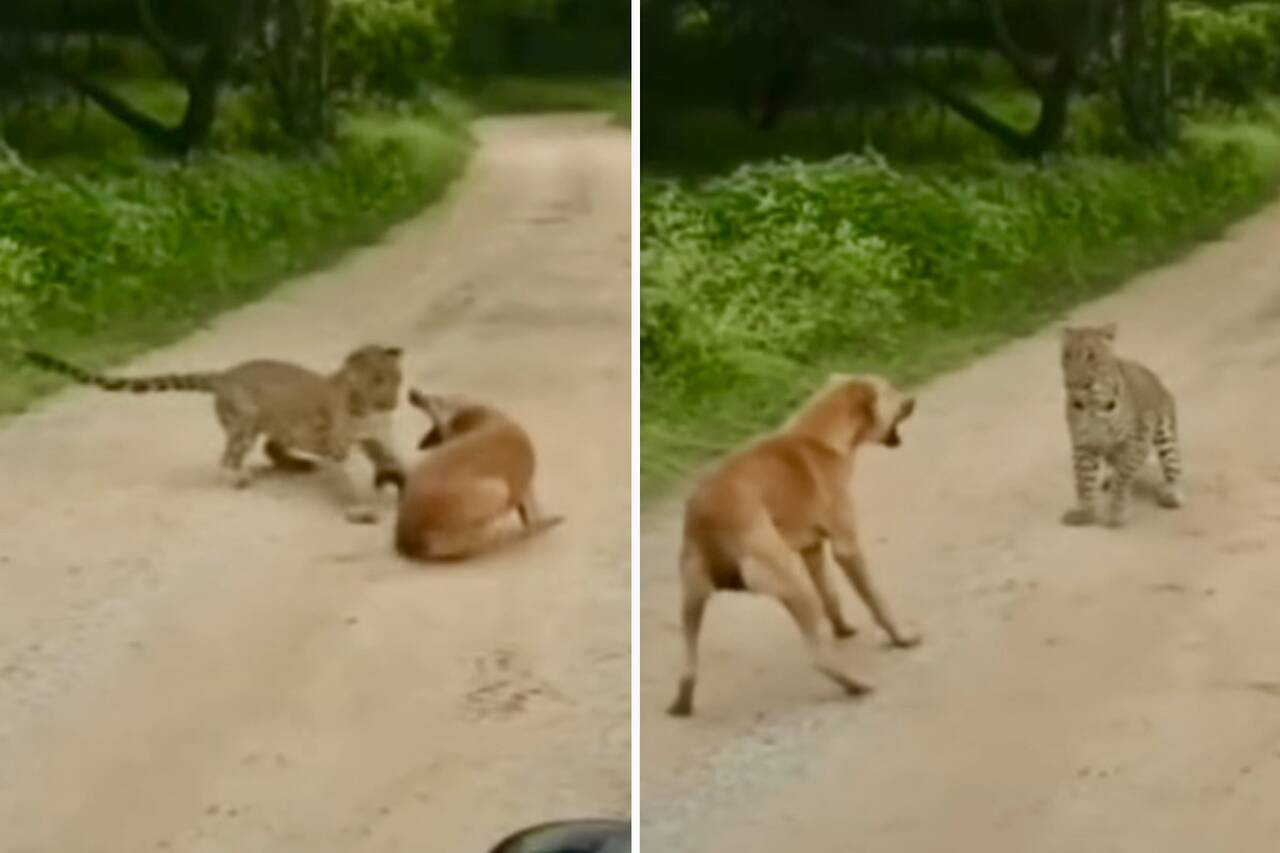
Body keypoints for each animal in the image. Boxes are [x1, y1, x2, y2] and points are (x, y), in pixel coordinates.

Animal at [396, 389, 563, 560]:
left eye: (437, 399)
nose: (413, 392)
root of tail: (409, 539)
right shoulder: (526, 490)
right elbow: (533, 515)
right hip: (499, 490)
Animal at [670, 376, 921, 712]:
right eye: (892, 390)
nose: (913, 399)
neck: (820, 439)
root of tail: (708, 521)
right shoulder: (847, 547)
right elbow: (876, 601)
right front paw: (901, 638)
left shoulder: (812, 550)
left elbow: (831, 596)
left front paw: (842, 628)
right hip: (792, 585)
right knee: (816, 658)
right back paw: (855, 684)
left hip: (692, 600)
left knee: (688, 665)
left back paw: (682, 702)